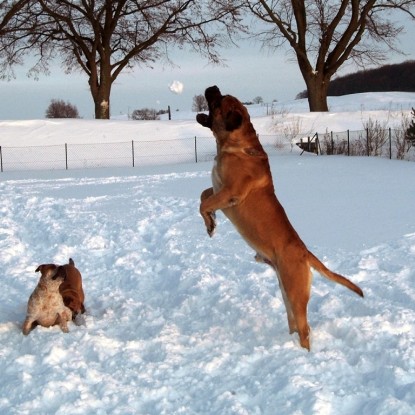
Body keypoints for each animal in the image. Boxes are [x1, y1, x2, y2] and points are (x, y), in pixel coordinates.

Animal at [197, 86, 362, 352]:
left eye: (218, 101)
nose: (212, 87)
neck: (235, 144)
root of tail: (305, 252)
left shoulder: (230, 192)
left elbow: (203, 202)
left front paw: (210, 223)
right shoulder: (217, 188)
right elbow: (203, 196)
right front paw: (210, 222)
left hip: (295, 293)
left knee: (305, 328)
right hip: (286, 291)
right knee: (294, 323)